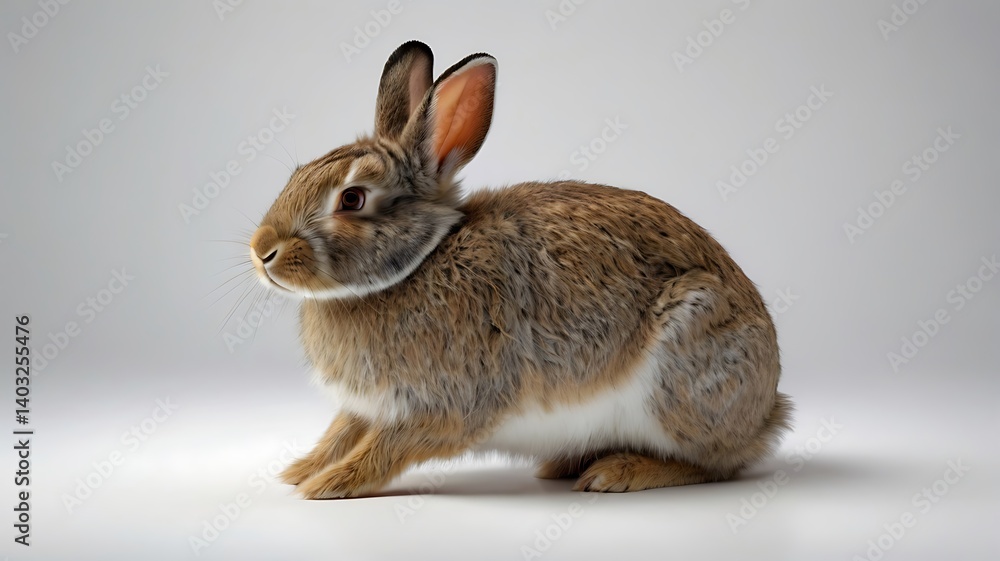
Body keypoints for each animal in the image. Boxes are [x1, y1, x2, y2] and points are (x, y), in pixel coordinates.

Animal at [248, 40, 792, 499]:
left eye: (353, 199)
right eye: (298, 174)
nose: (262, 250)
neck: (419, 262)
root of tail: (767, 412)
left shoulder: (447, 406)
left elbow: (386, 447)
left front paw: (327, 485)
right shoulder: (369, 406)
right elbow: (342, 431)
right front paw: (301, 470)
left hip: (682, 365)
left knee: (717, 463)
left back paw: (618, 472)